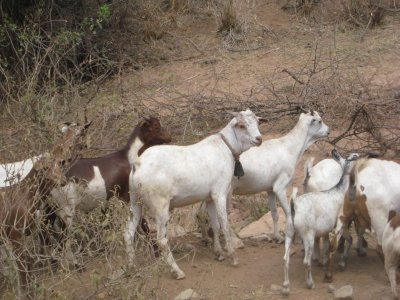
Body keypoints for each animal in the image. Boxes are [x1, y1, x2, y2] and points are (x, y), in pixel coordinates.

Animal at [50, 117, 170, 268]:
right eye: (156, 127)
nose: (169, 137)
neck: (129, 157)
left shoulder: (109, 200)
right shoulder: (128, 195)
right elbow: (143, 223)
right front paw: (156, 252)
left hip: (54, 210)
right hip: (67, 209)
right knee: (64, 235)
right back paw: (75, 264)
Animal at [125, 109, 262, 280]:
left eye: (257, 122)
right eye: (242, 125)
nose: (259, 139)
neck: (225, 147)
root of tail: (138, 163)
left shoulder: (210, 199)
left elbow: (215, 226)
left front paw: (219, 253)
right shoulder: (220, 194)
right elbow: (224, 225)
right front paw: (233, 257)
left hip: (134, 202)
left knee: (128, 233)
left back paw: (132, 267)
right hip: (160, 206)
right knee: (161, 239)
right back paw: (177, 271)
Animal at [284, 150, 360, 292]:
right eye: (355, 157)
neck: (340, 189)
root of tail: (294, 205)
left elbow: (345, 240)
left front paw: (339, 263)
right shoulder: (341, 224)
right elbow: (336, 244)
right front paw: (332, 272)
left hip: (289, 233)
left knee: (286, 258)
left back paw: (286, 286)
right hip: (308, 236)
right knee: (306, 261)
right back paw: (310, 283)